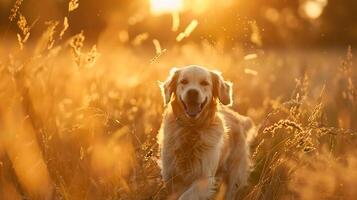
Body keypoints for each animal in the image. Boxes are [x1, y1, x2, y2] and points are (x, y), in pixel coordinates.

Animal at [157, 65, 254, 200]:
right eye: (183, 81)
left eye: (204, 83)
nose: (192, 92)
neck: (191, 129)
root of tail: (239, 119)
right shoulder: (170, 176)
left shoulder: (204, 179)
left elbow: (186, 196)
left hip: (234, 176)